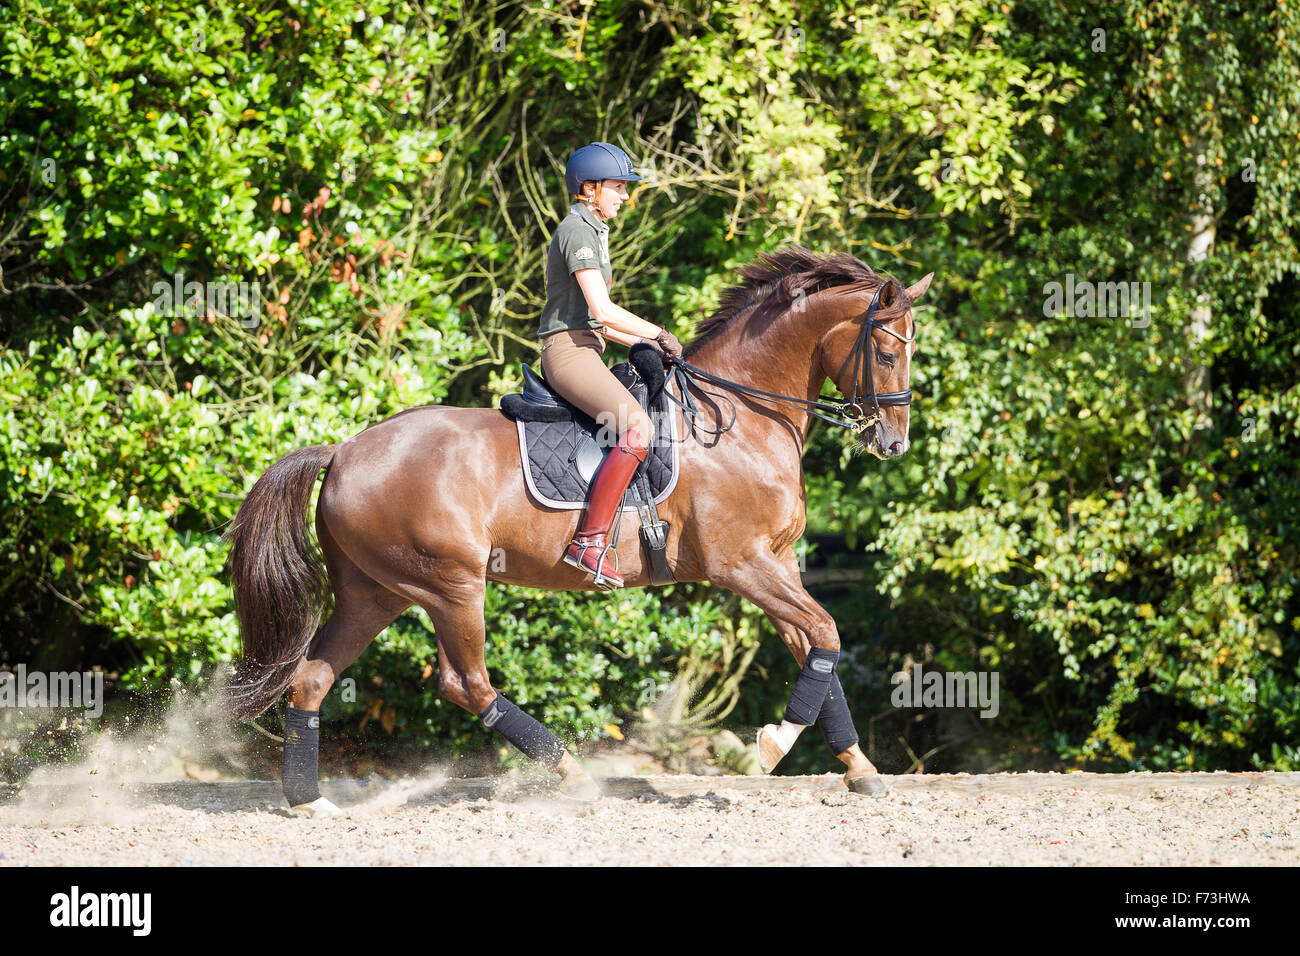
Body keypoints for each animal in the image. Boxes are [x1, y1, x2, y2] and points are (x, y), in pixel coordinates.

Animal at [226, 244, 935, 816]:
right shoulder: (740, 564)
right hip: (450, 586)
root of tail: (343, 450)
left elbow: (815, 646)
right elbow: (827, 632)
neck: (741, 415)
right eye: (887, 350)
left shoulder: (778, 563)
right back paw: (572, 774)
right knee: (466, 684)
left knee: (312, 679)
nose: (894, 444)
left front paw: (860, 770)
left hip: (377, 592)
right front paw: (773, 744)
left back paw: (308, 800)